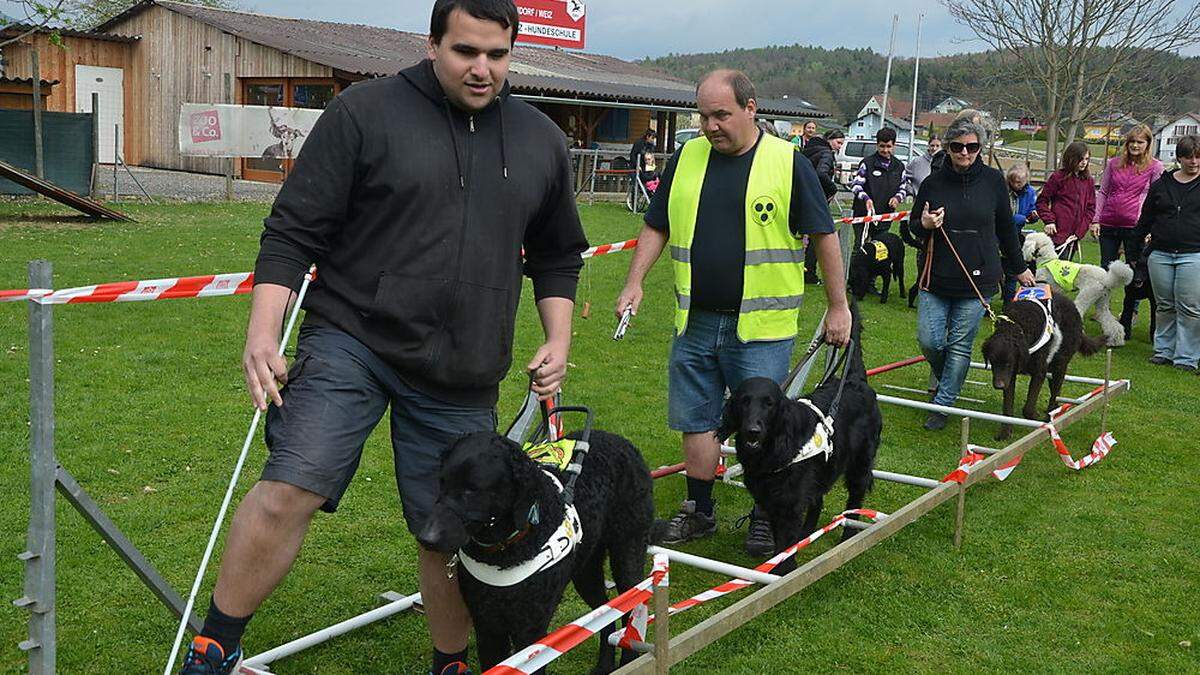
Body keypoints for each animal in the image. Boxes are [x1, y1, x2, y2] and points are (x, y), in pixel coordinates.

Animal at [417, 427, 652, 667]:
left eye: (472, 490)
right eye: (442, 482)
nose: (426, 538)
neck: (503, 553)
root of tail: (620, 440)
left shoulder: (530, 630)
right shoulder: (487, 626)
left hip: (628, 553)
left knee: (631, 607)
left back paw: (629, 661)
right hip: (586, 568)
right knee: (605, 612)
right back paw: (604, 666)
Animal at [720, 302, 883, 569]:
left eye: (769, 404)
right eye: (744, 401)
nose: (753, 430)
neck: (773, 449)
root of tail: (854, 379)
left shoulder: (789, 504)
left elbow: (785, 546)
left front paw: (784, 571)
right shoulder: (771, 499)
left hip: (859, 464)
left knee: (854, 501)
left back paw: (847, 536)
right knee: (818, 501)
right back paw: (807, 534)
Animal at [979, 290, 1099, 441]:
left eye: (1008, 363)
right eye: (992, 361)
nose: (998, 385)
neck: (1019, 326)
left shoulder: (1038, 371)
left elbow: (1028, 408)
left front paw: (1035, 417)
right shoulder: (1009, 377)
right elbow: (1007, 408)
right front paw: (1005, 433)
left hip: (1060, 364)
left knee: (1055, 391)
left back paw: (1050, 415)